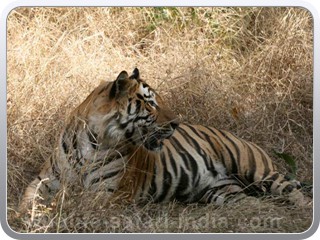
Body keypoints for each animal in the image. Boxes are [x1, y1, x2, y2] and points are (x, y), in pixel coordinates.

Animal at [18, 68, 306, 214]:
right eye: (150, 103)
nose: (176, 122)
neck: (93, 141)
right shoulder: (44, 180)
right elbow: (28, 201)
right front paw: (26, 217)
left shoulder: (103, 194)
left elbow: (67, 204)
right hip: (225, 193)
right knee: (255, 204)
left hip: (257, 170)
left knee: (295, 193)